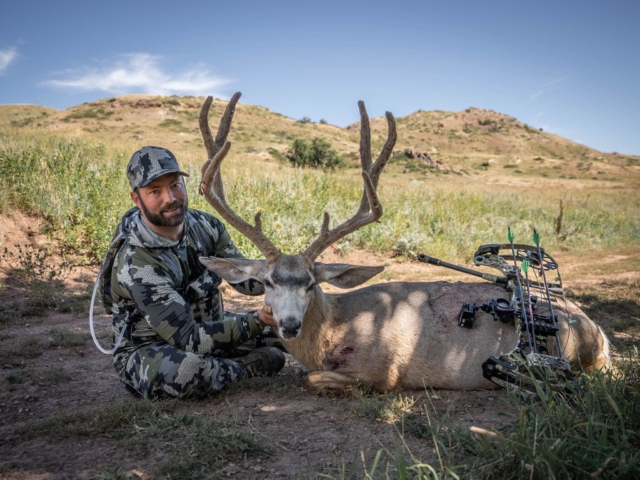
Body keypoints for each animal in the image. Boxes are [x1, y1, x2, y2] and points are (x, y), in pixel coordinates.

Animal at [197, 93, 610, 391]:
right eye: (267, 281)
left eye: (311, 284)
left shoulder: (385, 371)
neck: (335, 328)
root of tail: (601, 333)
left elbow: (312, 379)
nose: (288, 325)